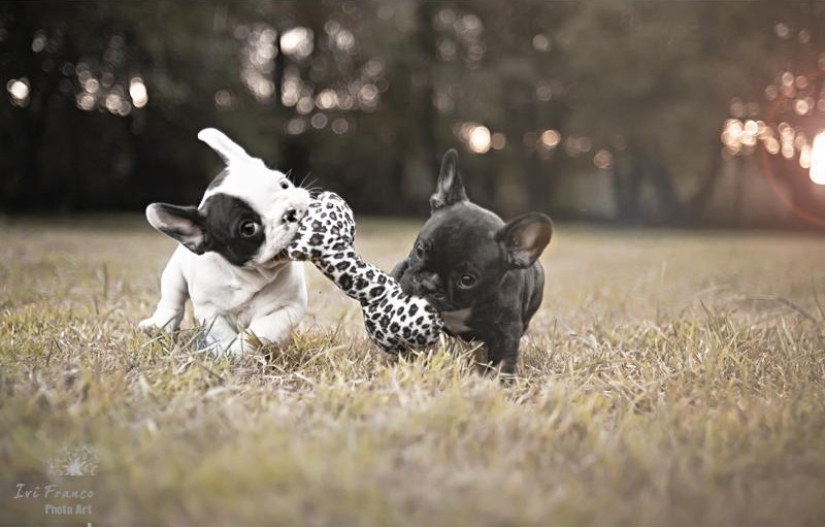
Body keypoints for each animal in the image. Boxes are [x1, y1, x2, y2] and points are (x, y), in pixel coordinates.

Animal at [140, 129, 310, 358]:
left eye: (284, 184)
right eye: (248, 228)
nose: (290, 213)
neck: (249, 276)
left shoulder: (288, 307)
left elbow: (263, 329)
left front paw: (240, 349)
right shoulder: (210, 310)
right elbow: (221, 332)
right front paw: (227, 352)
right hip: (173, 274)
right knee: (172, 302)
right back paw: (158, 324)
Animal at [392, 150, 552, 376]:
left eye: (467, 280)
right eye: (420, 250)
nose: (429, 284)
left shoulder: (507, 332)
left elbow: (504, 361)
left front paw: (498, 380)